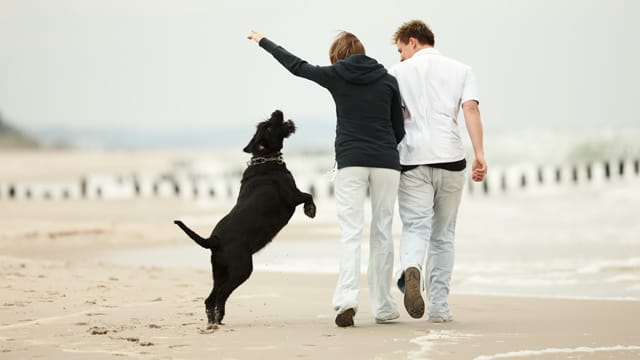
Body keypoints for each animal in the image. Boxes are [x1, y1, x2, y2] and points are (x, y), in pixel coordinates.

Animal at [174, 110, 316, 326]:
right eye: (268, 126)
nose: (277, 111)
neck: (265, 158)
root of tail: (214, 240)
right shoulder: (292, 195)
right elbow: (308, 195)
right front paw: (311, 209)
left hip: (220, 271)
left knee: (210, 297)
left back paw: (213, 320)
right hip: (241, 269)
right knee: (222, 294)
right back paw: (219, 316)